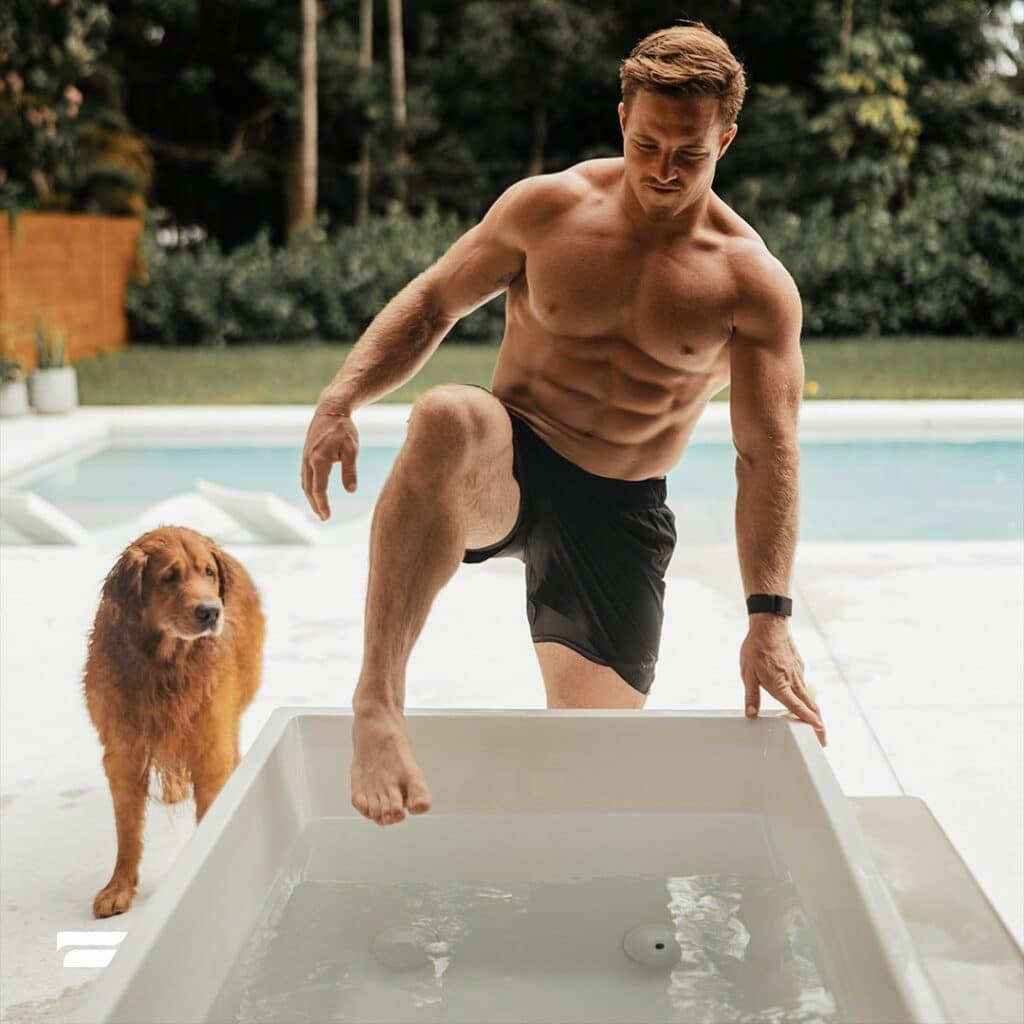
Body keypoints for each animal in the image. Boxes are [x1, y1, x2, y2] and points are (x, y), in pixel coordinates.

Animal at [83, 528, 264, 921]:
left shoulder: (211, 744)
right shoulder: (123, 752)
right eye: (169, 577)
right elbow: (127, 831)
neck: (165, 664)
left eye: (208, 572)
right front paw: (118, 887)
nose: (211, 611)